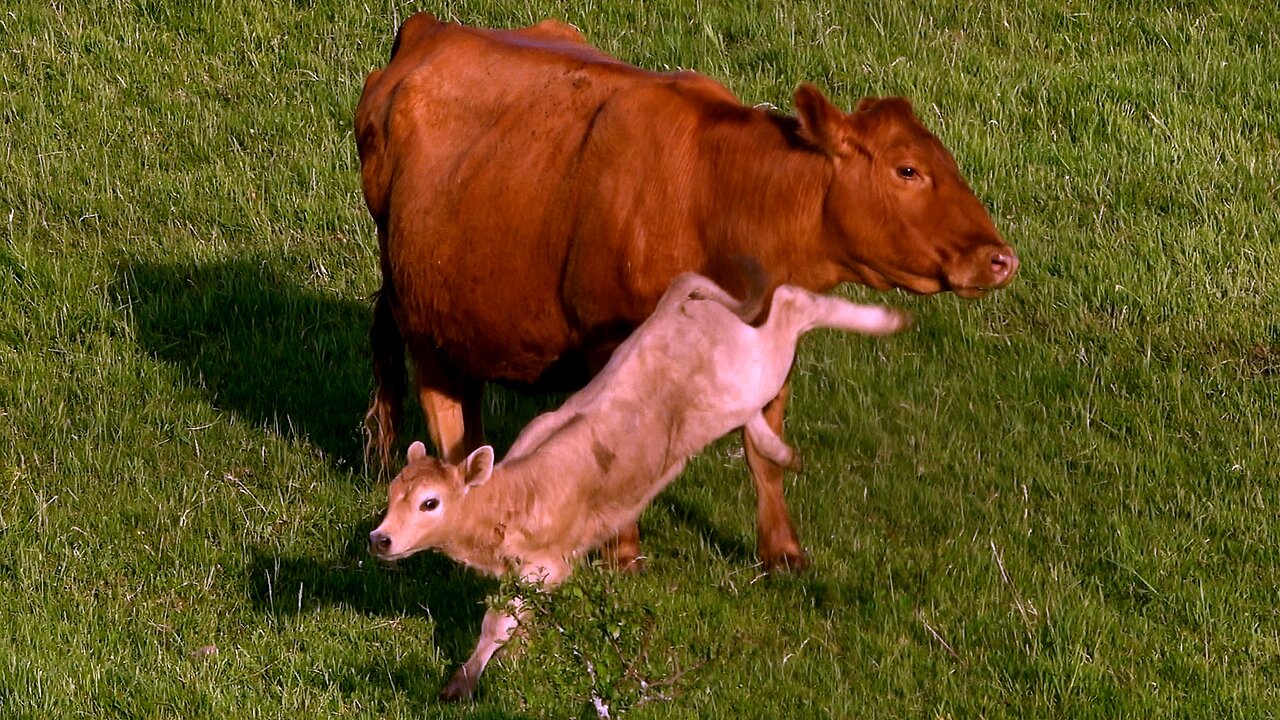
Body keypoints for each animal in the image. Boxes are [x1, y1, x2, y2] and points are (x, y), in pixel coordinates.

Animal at [355, 13, 1017, 573]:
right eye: (907, 170)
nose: (999, 258)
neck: (721, 197)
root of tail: (430, 27)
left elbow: (765, 447)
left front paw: (782, 552)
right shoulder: (608, 342)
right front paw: (623, 556)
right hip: (424, 311)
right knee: (443, 405)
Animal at [368, 271, 912, 701]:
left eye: (430, 503)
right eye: (392, 496)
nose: (380, 538)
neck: (517, 493)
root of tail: (682, 299)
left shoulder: (548, 565)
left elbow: (496, 624)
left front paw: (463, 682)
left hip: (753, 369)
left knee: (793, 303)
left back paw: (885, 320)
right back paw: (780, 448)